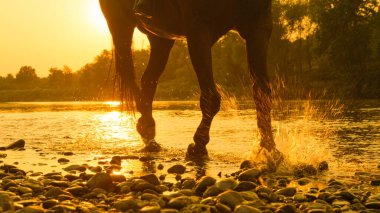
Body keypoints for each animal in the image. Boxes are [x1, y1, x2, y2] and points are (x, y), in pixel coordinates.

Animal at [99, 0, 280, 161]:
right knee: (129, 73)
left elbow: (262, 93)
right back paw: (146, 126)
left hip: (160, 37)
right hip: (120, 23)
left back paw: (148, 132)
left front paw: (269, 149)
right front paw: (198, 146)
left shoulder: (258, 27)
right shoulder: (198, 31)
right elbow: (211, 97)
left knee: (148, 80)